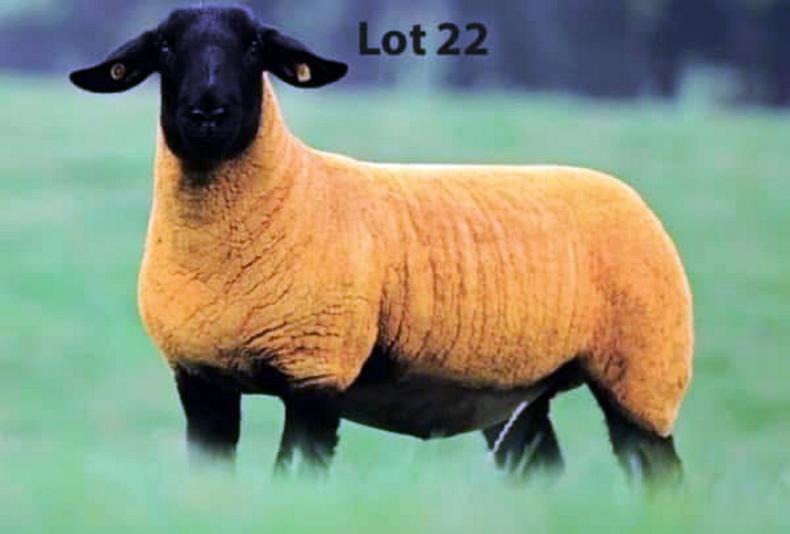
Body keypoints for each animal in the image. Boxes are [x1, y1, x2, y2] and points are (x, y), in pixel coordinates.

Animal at [70, 5, 693, 484]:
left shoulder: (316, 372)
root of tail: (625, 193)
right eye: (165, 46)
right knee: (541, 469)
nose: (207, 113)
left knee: (659, 476)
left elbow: (295, 476)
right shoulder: (201, 380)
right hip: (516, 392)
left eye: (253, 46)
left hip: (644, 371)